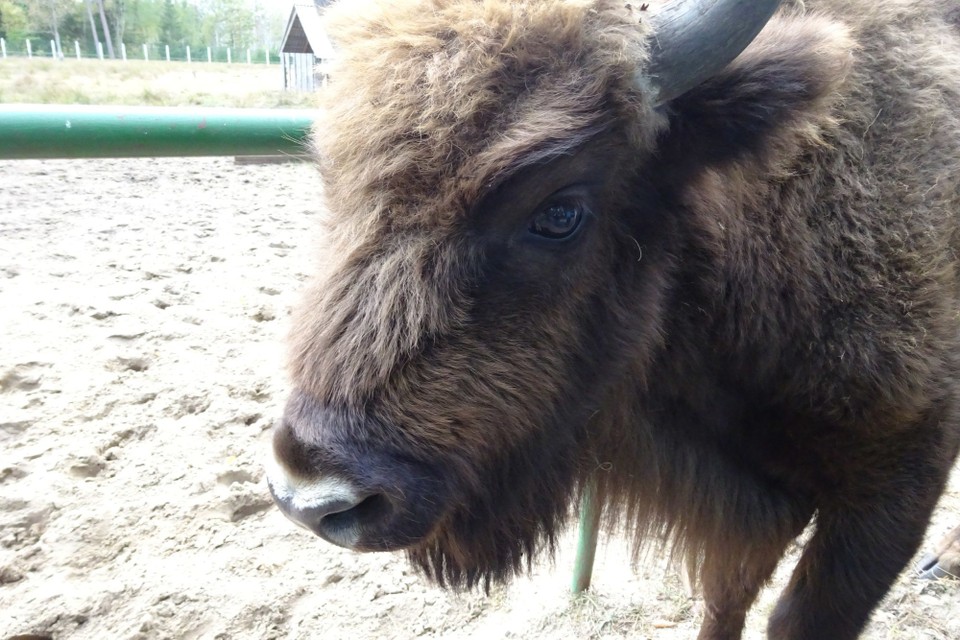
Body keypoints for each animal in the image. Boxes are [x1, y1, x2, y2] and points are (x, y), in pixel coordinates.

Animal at [266, 0, 960, 636]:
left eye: (559, 212)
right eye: (332, 177)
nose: (310, 497)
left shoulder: (893, 492)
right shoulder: (746, 514)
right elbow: (724, 597)